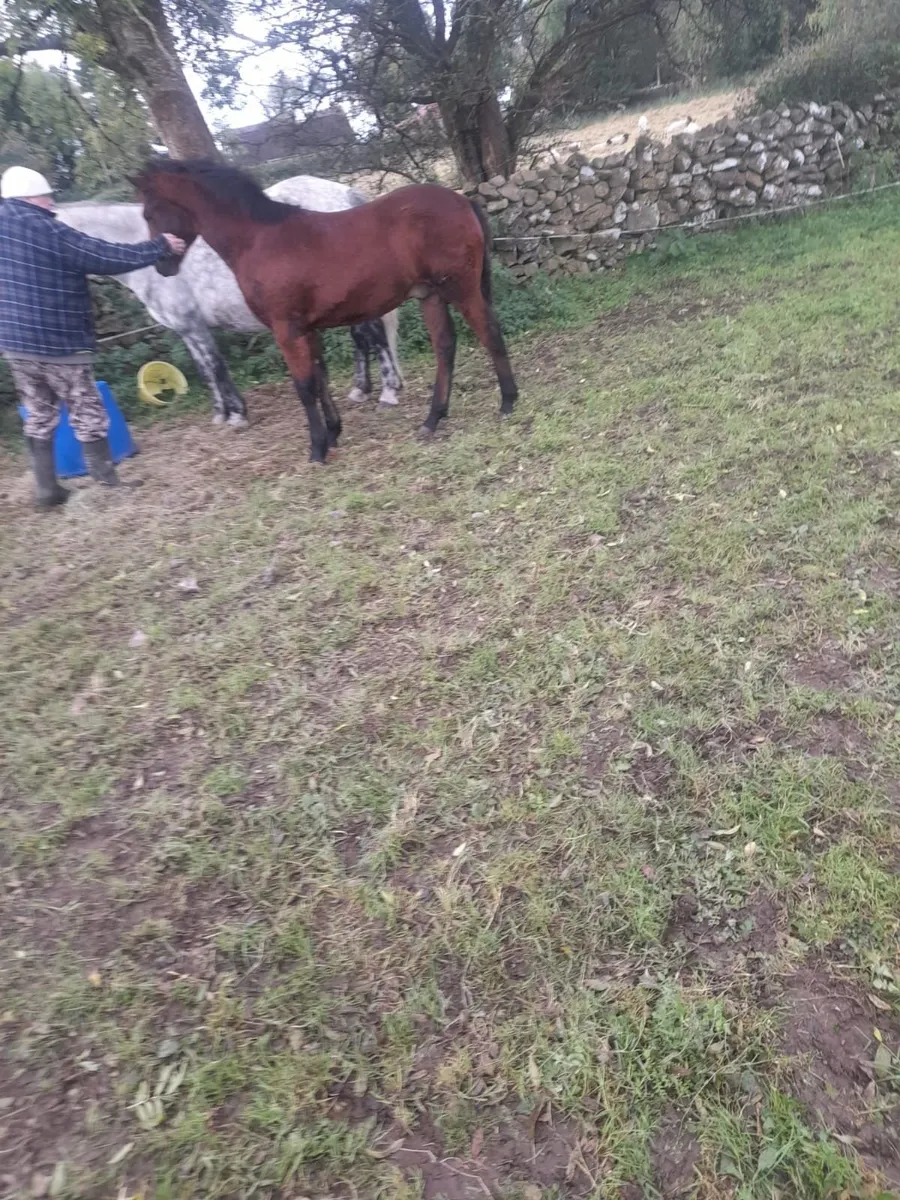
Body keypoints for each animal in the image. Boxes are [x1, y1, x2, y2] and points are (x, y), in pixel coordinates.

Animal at [58, 175, 404, 429]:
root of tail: (343, 193)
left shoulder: (194, 325)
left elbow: (216, 367)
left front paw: (237, 415)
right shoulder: (185, 330)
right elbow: (203, 370)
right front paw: (220, 413)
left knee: (373, 334)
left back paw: (388, 392)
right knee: (361, 336)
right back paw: (361, 390)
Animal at [130, 158, 517, 464]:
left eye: (149, 212)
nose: (163, 266)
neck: (259, 241)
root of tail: (461, 199)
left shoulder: (286, 330)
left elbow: (304, 387)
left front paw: (316, 448)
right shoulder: (308, 328)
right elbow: (320, 379)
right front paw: (333, 433)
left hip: (460, 288)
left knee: (489, 332)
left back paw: (508, 401)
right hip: (431, 296)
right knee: (445, 347)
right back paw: (432, 420)